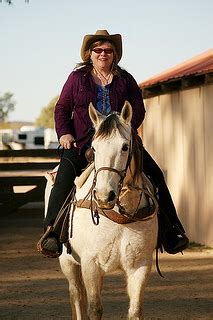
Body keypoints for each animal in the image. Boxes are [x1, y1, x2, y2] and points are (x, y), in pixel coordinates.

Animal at [45, 101, 158, 318]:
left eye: (124, 147)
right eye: (94, 148)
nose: (104, 196)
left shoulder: (140, 266)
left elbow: (135, 310)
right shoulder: (90, 265)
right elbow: (94, 309)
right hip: (68, 263)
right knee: (76, 296)